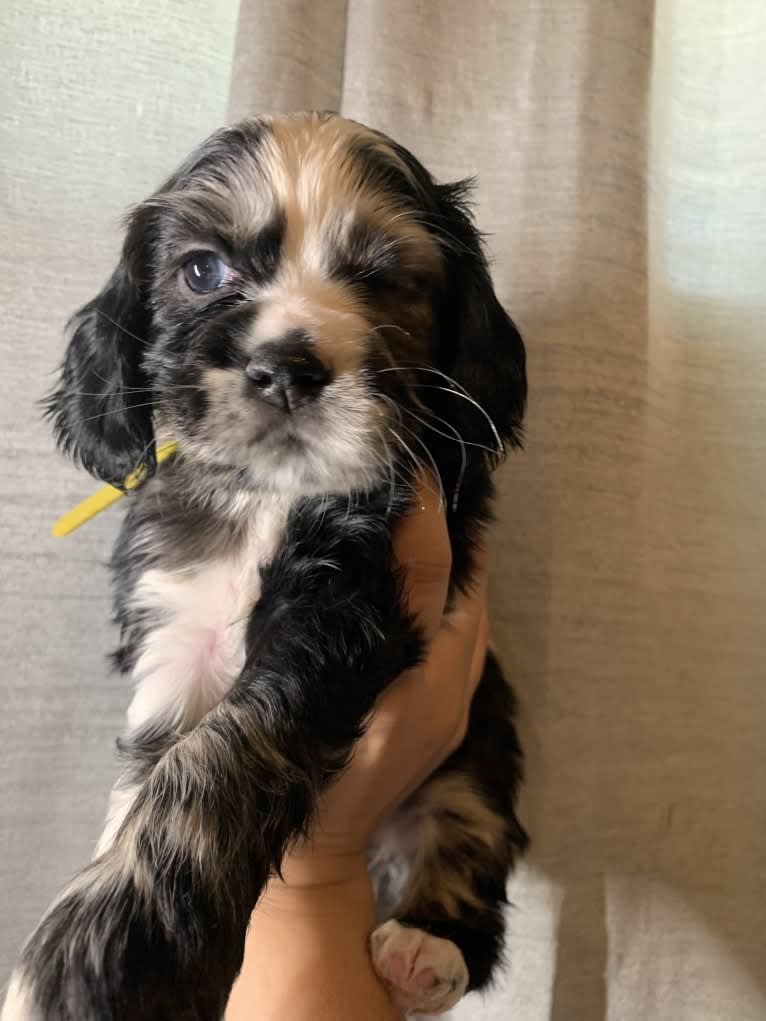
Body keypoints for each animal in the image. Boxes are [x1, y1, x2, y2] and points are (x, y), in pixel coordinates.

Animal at [1, 111, 527, 1021]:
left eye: (381, 276)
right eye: (202, 270)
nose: (287, 368)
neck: (264, 500)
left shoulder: (343, 600)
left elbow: (222, 753)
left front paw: (106, 957)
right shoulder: (178, 626)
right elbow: (156, 766)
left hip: (484, 729)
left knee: (469, 824)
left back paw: (428, 947)